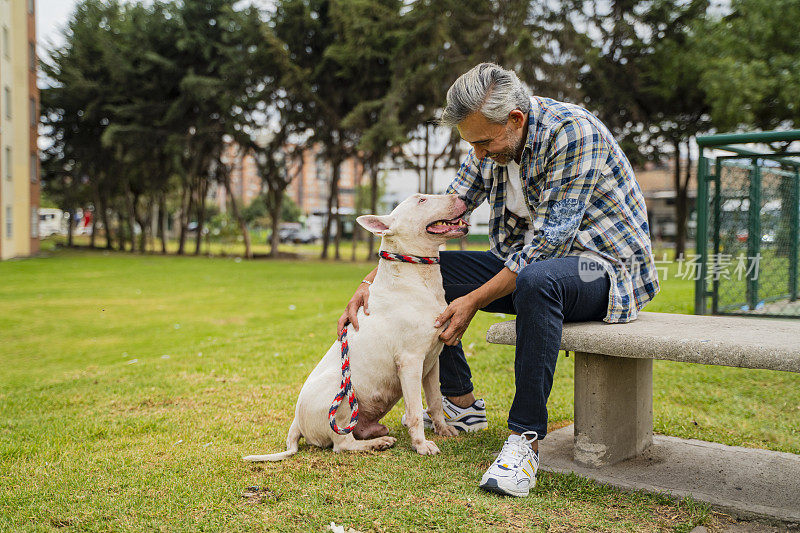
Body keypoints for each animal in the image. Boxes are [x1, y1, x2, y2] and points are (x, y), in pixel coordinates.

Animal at [244, 193, 468, 460]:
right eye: (421, 200)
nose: (462, 196)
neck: (416, 274)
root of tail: (296, 423)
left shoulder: (432, 362)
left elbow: (434, 401)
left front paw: (443, 429)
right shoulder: (410, 361)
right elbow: (414, 410)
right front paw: (421, 445)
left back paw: (376, 434)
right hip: (340, 394)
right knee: (342, 443)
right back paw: (378, 443)